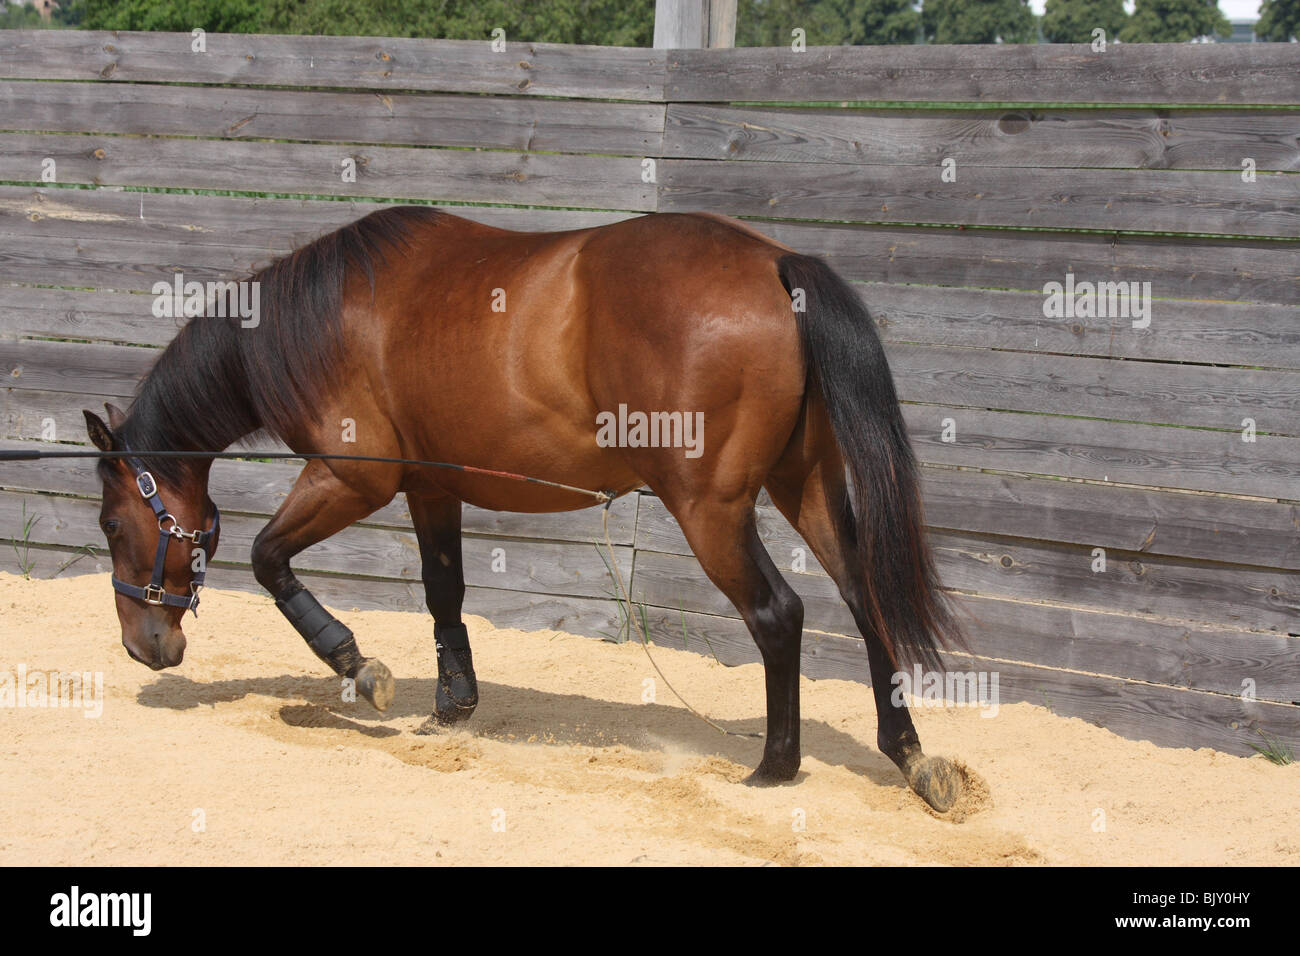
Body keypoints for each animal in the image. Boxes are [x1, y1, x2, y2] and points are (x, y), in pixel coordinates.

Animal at [83, 206, 967, 811]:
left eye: (112, 524)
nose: (143, 647)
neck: (323, 320)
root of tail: (775, 261)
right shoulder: (431, 487)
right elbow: (444, 594)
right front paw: (454, 706)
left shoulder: (353, 478)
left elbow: (269, 559)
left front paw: (361, 667)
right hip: (803, 486)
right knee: (865, 600)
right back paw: (909, 754)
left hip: (710, 507)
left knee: (779, 614)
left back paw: (776, 765)